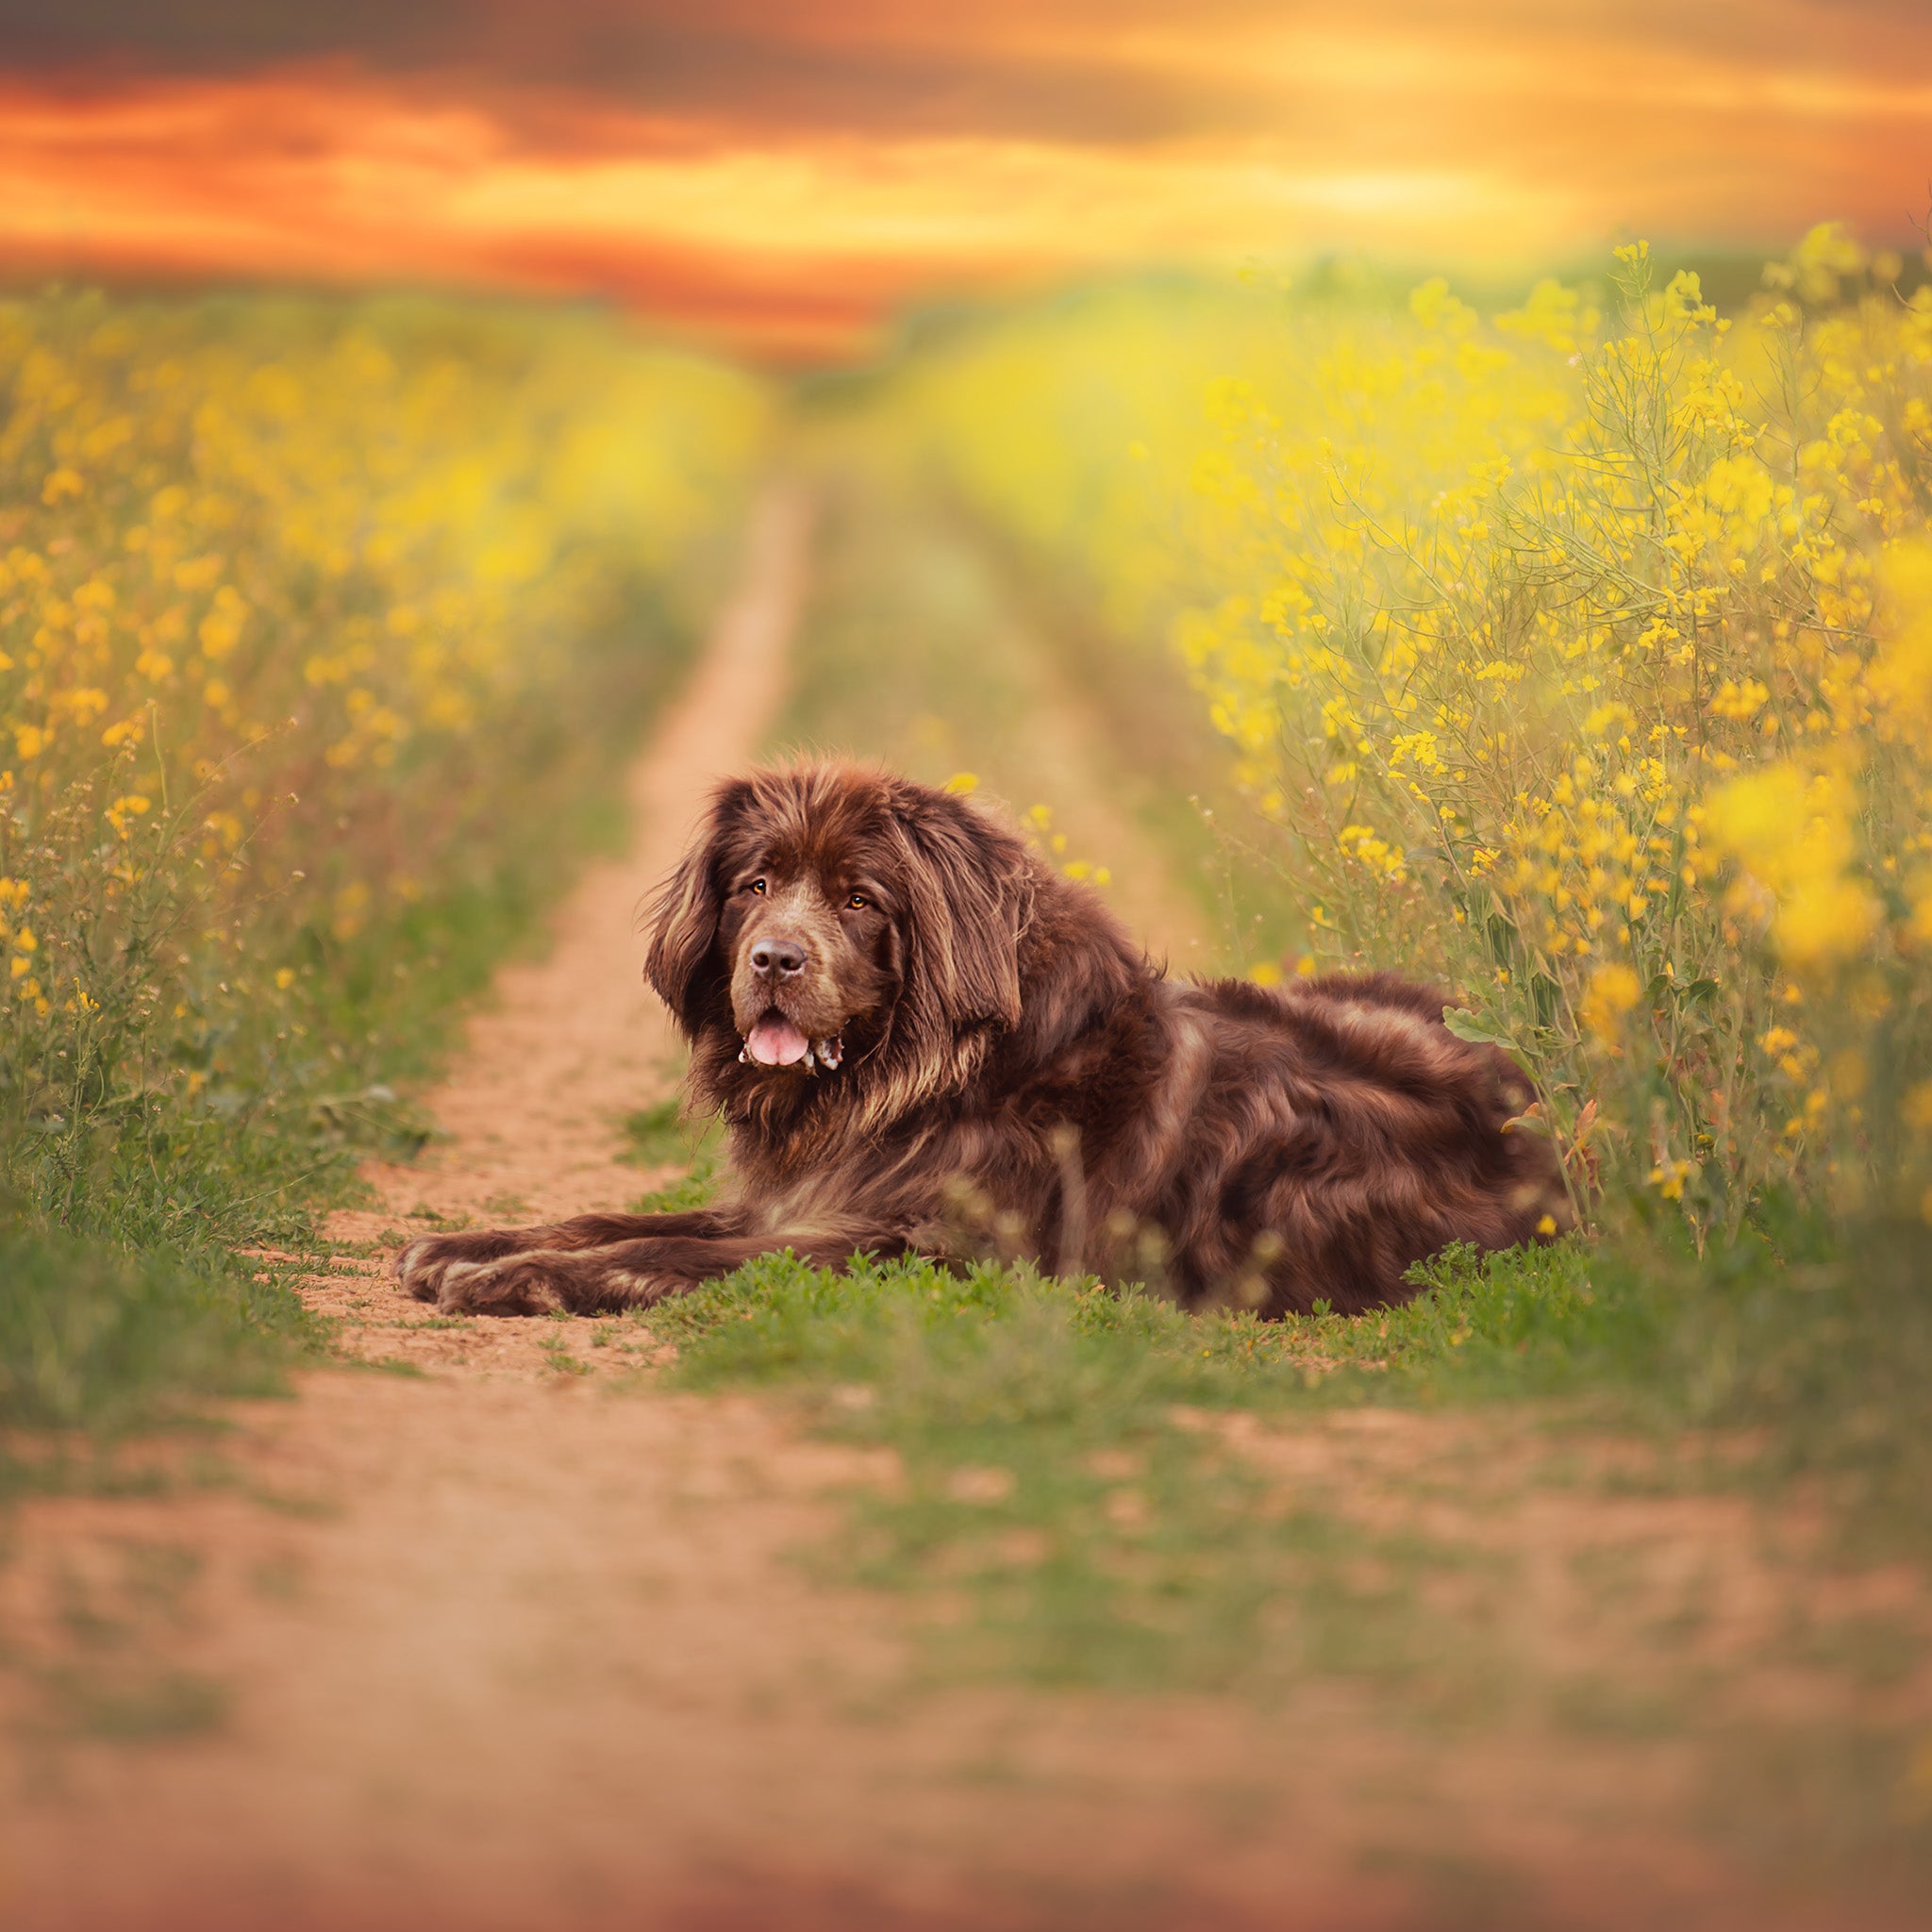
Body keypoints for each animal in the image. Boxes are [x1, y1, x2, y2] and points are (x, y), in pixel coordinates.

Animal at [391, 760, 1568, 1321]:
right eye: (754, 884)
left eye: (861, 900)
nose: (773, 959)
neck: (924, 1078)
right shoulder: (791, 1195)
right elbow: (609, 1216)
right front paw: (470, 1244)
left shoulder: (919, 1246)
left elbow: (668, 1250)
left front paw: (508, 1277)